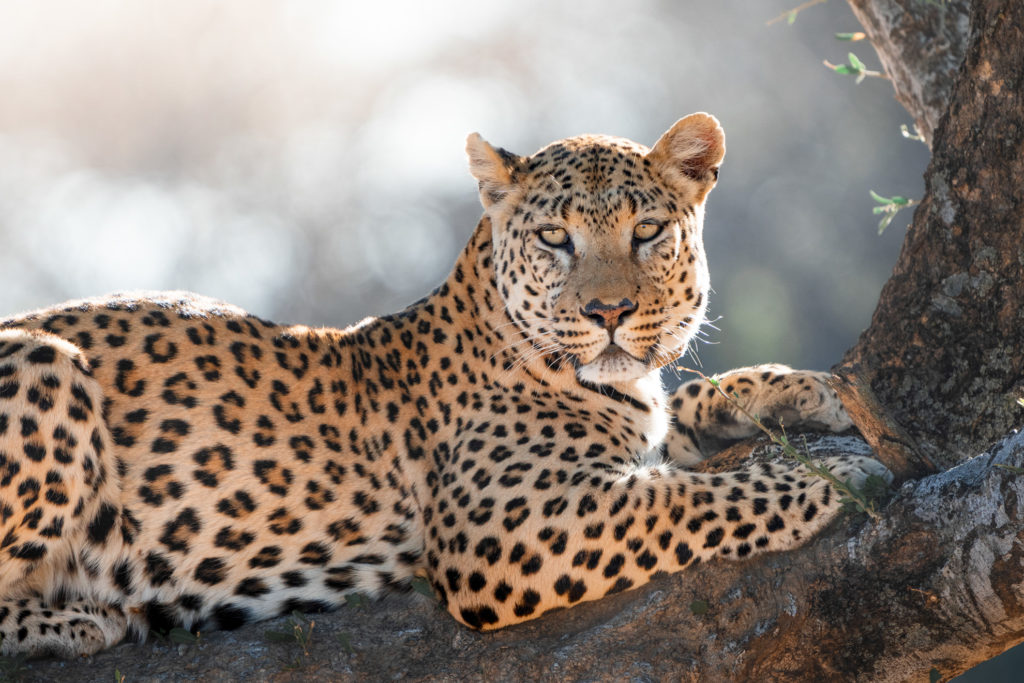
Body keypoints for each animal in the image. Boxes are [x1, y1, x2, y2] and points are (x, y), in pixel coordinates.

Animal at [0, 113, 890, 657]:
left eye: (646, 232)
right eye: (555, 238)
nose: (608, 312)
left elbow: (693, 412)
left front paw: (816, 391)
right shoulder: (504, 524)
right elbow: (690, 499)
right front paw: (833, 473)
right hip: (46, 361)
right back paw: (87, 616)